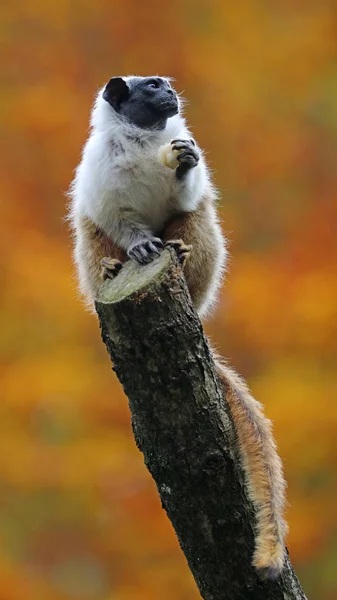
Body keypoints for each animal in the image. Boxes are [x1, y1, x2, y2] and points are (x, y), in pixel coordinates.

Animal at [68, 75, 286, 576]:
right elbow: (116, 217)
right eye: (151, 88)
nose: (172, 95)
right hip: (90, 250)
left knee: (196, 217)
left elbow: (185, 193)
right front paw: (139, 247)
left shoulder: (185, 156)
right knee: (94, 234)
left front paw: (183, 163)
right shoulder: (102, 173)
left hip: (200, 256)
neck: (146, 143)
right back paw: (113, 266)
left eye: (167, 85)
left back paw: (181, 256)